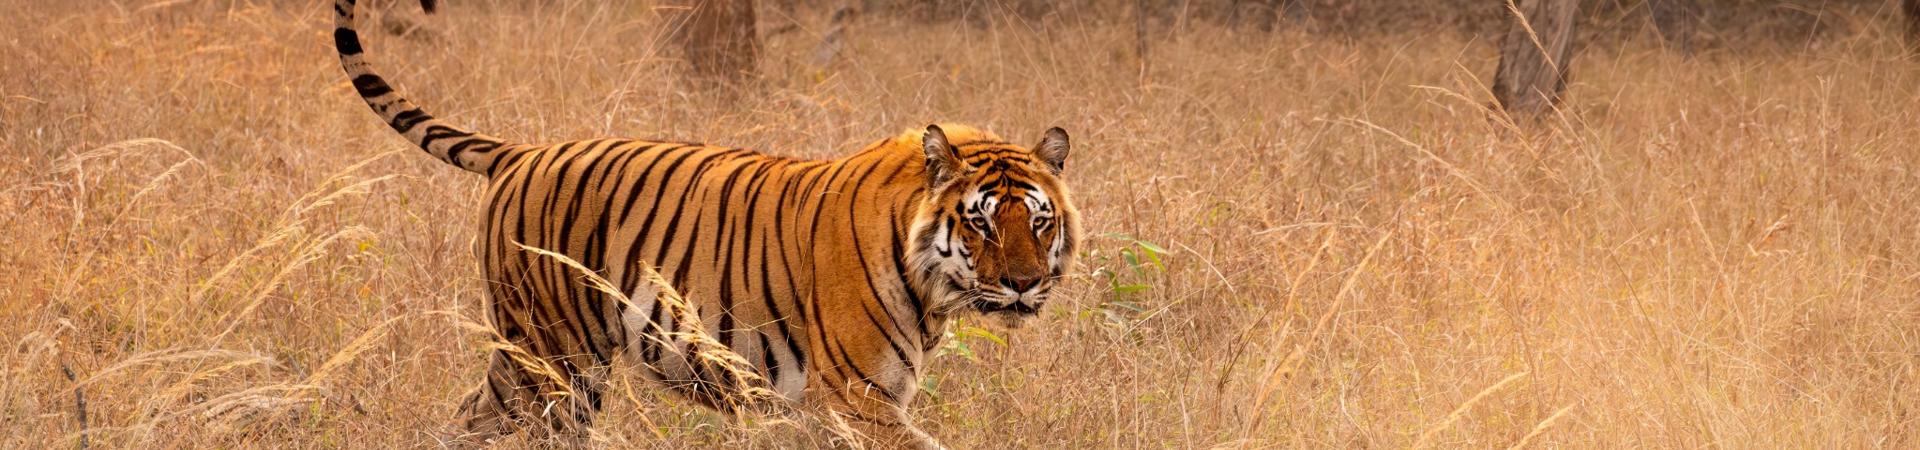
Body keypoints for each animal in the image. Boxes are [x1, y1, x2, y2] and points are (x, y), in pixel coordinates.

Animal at [330, 1, 1082, 448]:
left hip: (526, 361)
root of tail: (521, 151)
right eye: (981, 224)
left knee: (467, 418)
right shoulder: (859, 403)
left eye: (1039, 223)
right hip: (557, 362)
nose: (1023, 285)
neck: (933, 290)